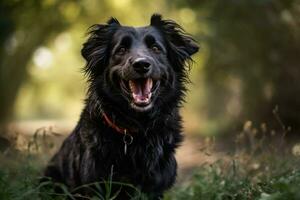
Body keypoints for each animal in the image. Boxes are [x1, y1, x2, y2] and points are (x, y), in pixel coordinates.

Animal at [44, 13, 199, 198]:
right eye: (121, 50)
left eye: (156, 48)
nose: (141, 64)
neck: (138, 129)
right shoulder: (95, 187)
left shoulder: (155, 189)